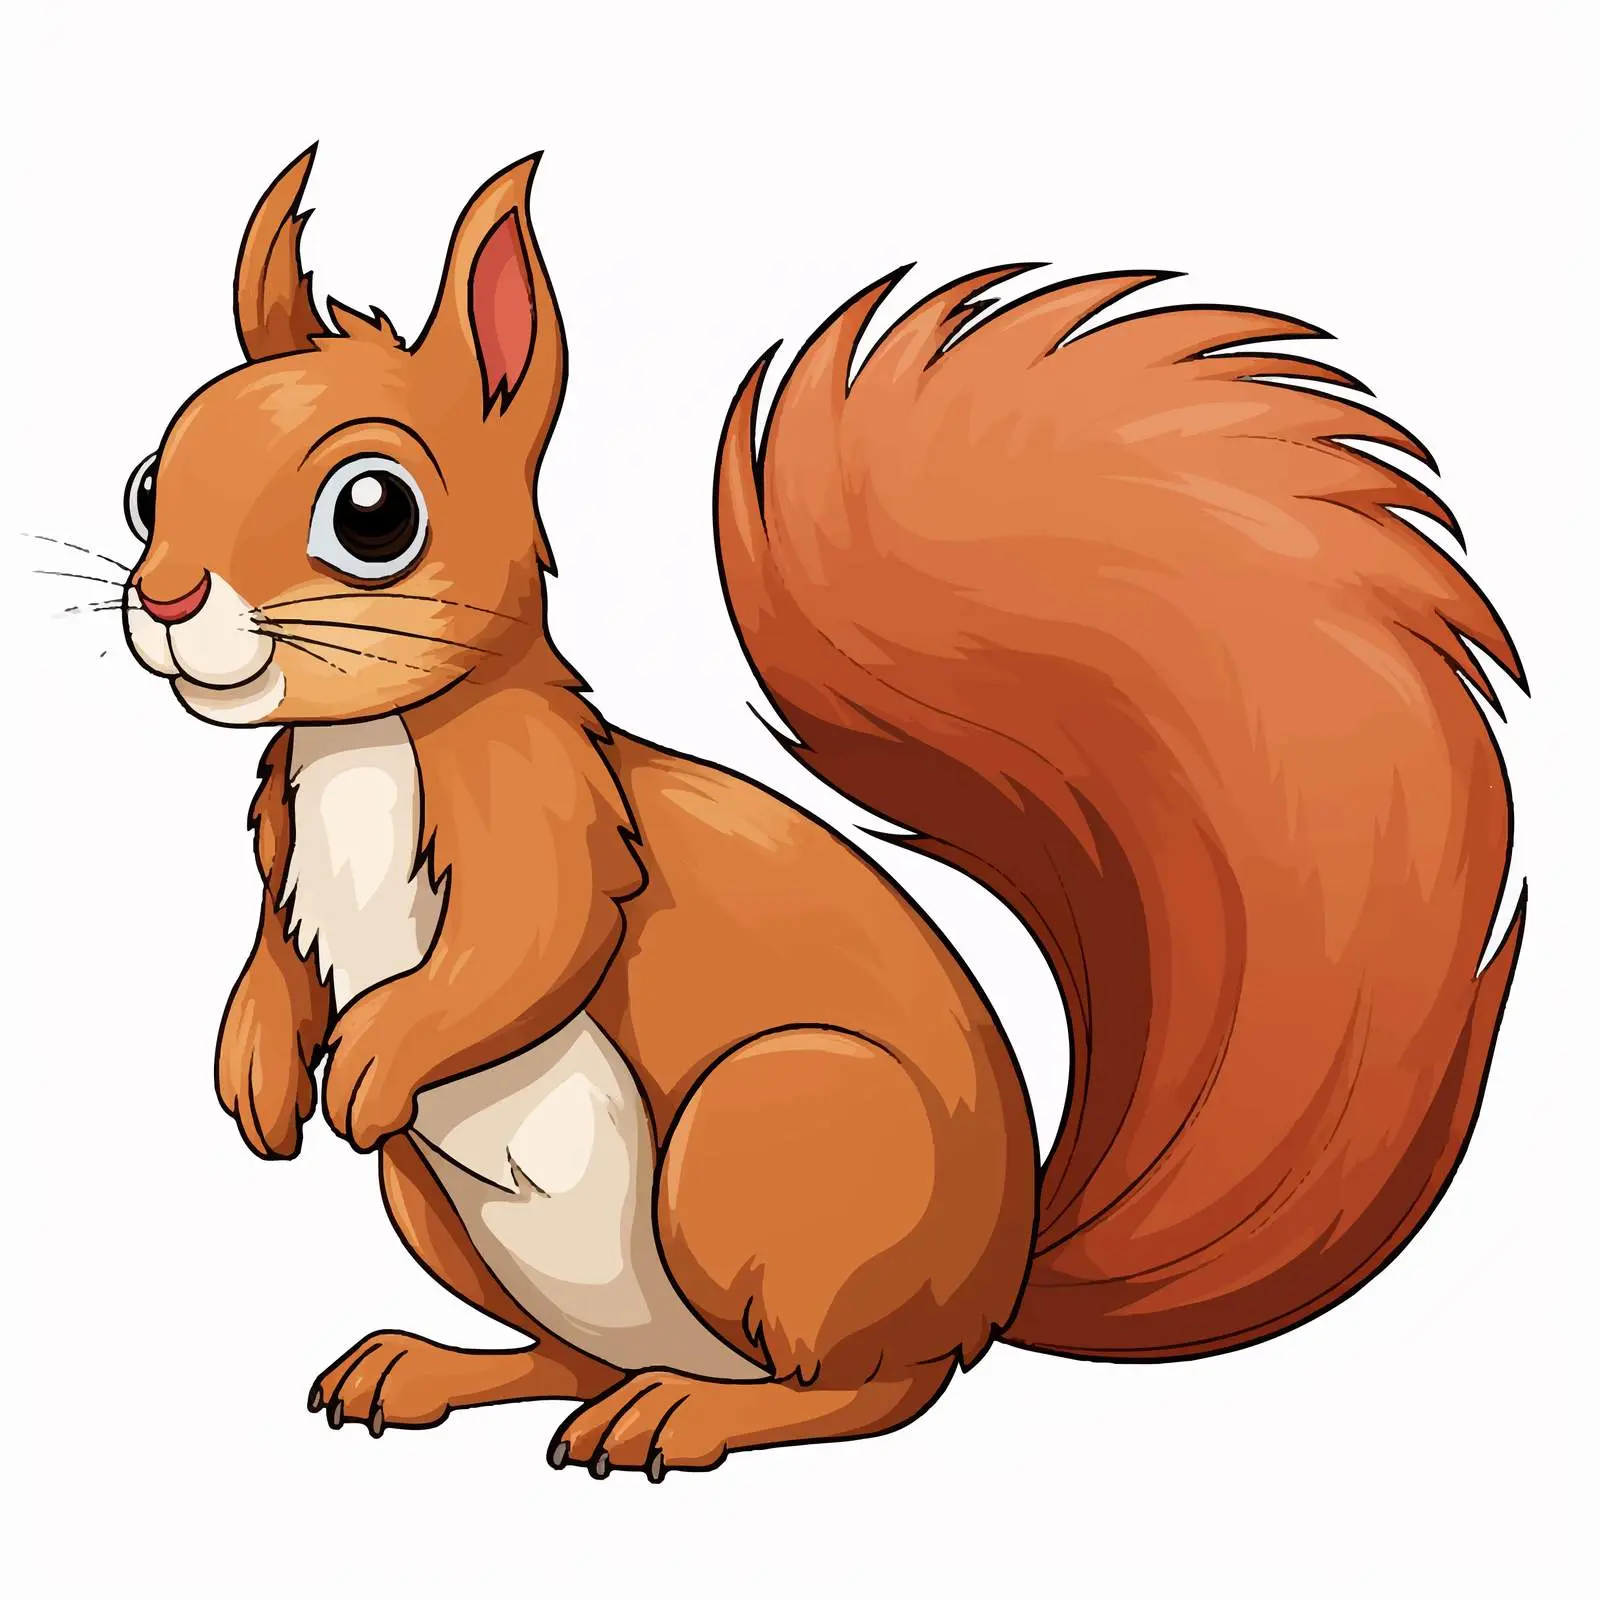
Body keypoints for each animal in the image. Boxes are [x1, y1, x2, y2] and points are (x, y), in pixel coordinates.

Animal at [118, 147, 1523, 1480]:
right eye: (146, 483)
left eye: (374, 513)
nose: (169, 598)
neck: (363, 744)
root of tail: (991, 1287)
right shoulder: (283, 849)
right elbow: (275, 955)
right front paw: (259, 1074)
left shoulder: (550, 817)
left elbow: (529, 945)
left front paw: (369, 1061)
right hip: (442, 1205)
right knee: (569, 1358)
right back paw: (431, 1369)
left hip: (768, 1135)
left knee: (867, 1391)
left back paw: (678, 1415)